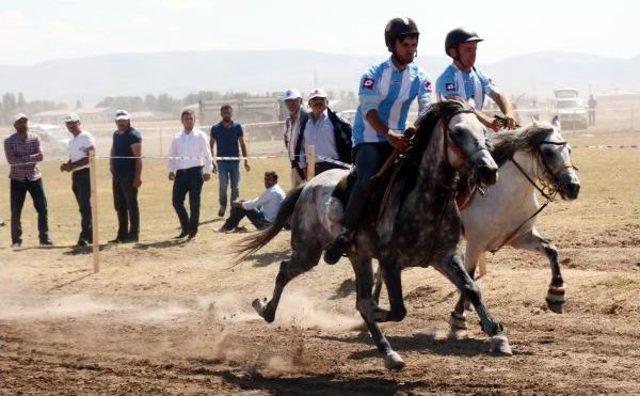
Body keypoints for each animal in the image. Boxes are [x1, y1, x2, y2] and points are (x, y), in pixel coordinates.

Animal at [238, 100, 512, 370]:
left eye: (484, 131)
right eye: (457, 132)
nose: (489, 170)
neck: (424, 199)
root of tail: (308, 186)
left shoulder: (445, 257)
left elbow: (471, 289)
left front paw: (497, 335)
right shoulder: (391, 263)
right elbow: (397, 310)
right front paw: (374, 311)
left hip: (359, 257)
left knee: (358, 296)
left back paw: (389, 353)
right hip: (308, 250)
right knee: (285, 270)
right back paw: (265, 309)